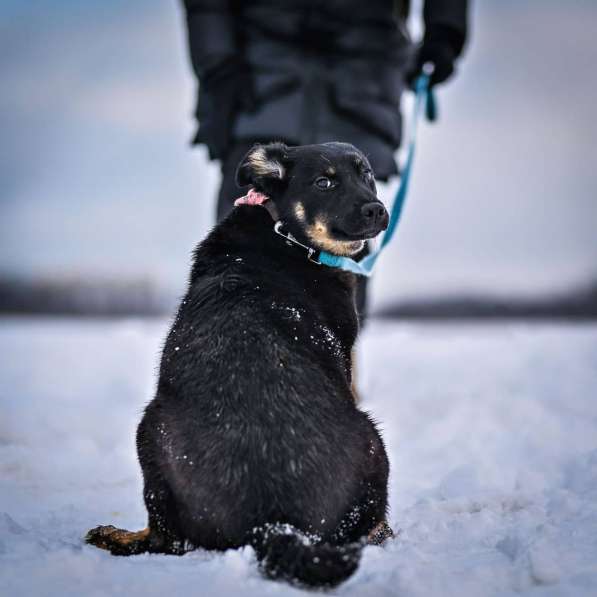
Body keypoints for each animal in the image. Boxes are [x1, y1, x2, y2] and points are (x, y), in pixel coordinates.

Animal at [84, 142, 392, 584]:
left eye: (365, 173)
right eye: (324, 182)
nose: (377, 209)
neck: (286, 232)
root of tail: (273, 522)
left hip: (149, 432)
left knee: (167, 537)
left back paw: (115, 537)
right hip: (373, 441)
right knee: (166, 539)